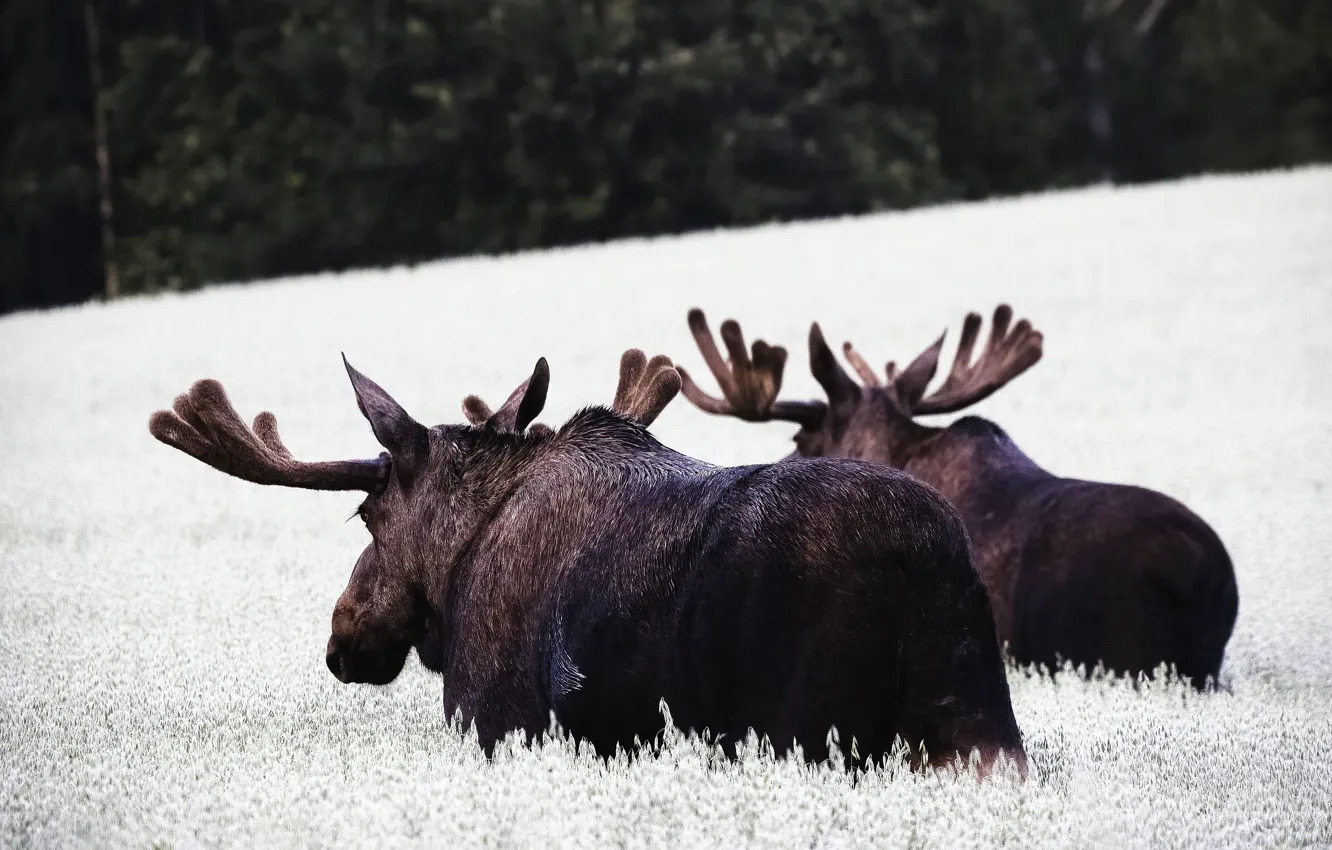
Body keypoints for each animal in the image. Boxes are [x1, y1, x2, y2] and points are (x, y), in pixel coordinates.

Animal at [147, 346, 1028, 777]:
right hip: (977, 725)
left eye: (366, 513)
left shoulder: (496, 719)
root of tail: (925, 565)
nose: (344, 636)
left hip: (807, 729)